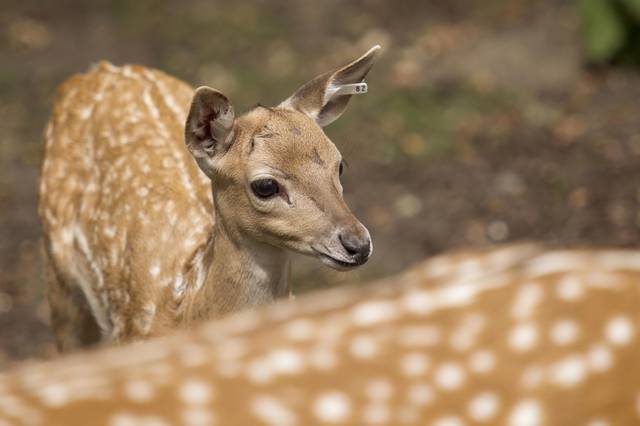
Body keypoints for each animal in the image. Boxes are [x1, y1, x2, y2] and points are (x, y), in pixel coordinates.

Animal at [38, 45, 380, 352]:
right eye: (265, 186)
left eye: (340, 164)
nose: (358, 244)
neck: (184, 305)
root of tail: (96, 72)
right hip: (60, 276)